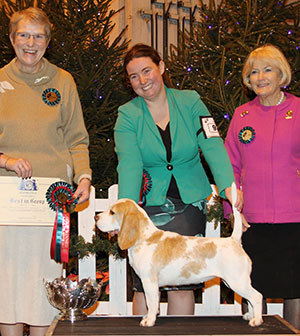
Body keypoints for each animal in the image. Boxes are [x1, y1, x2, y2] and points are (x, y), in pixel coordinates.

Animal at [96, 182, 262, 326]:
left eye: (112, 212)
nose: (95, 217)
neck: (144, 237)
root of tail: (234, 240)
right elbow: (153, 304)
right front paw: (149, 316)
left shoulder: (149, 281)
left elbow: (151, 302)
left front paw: (149, 320)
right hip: (236, 282)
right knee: (250, 299)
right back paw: (250, 315)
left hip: (237, 281)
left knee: (257, 296)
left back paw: (257, 320)